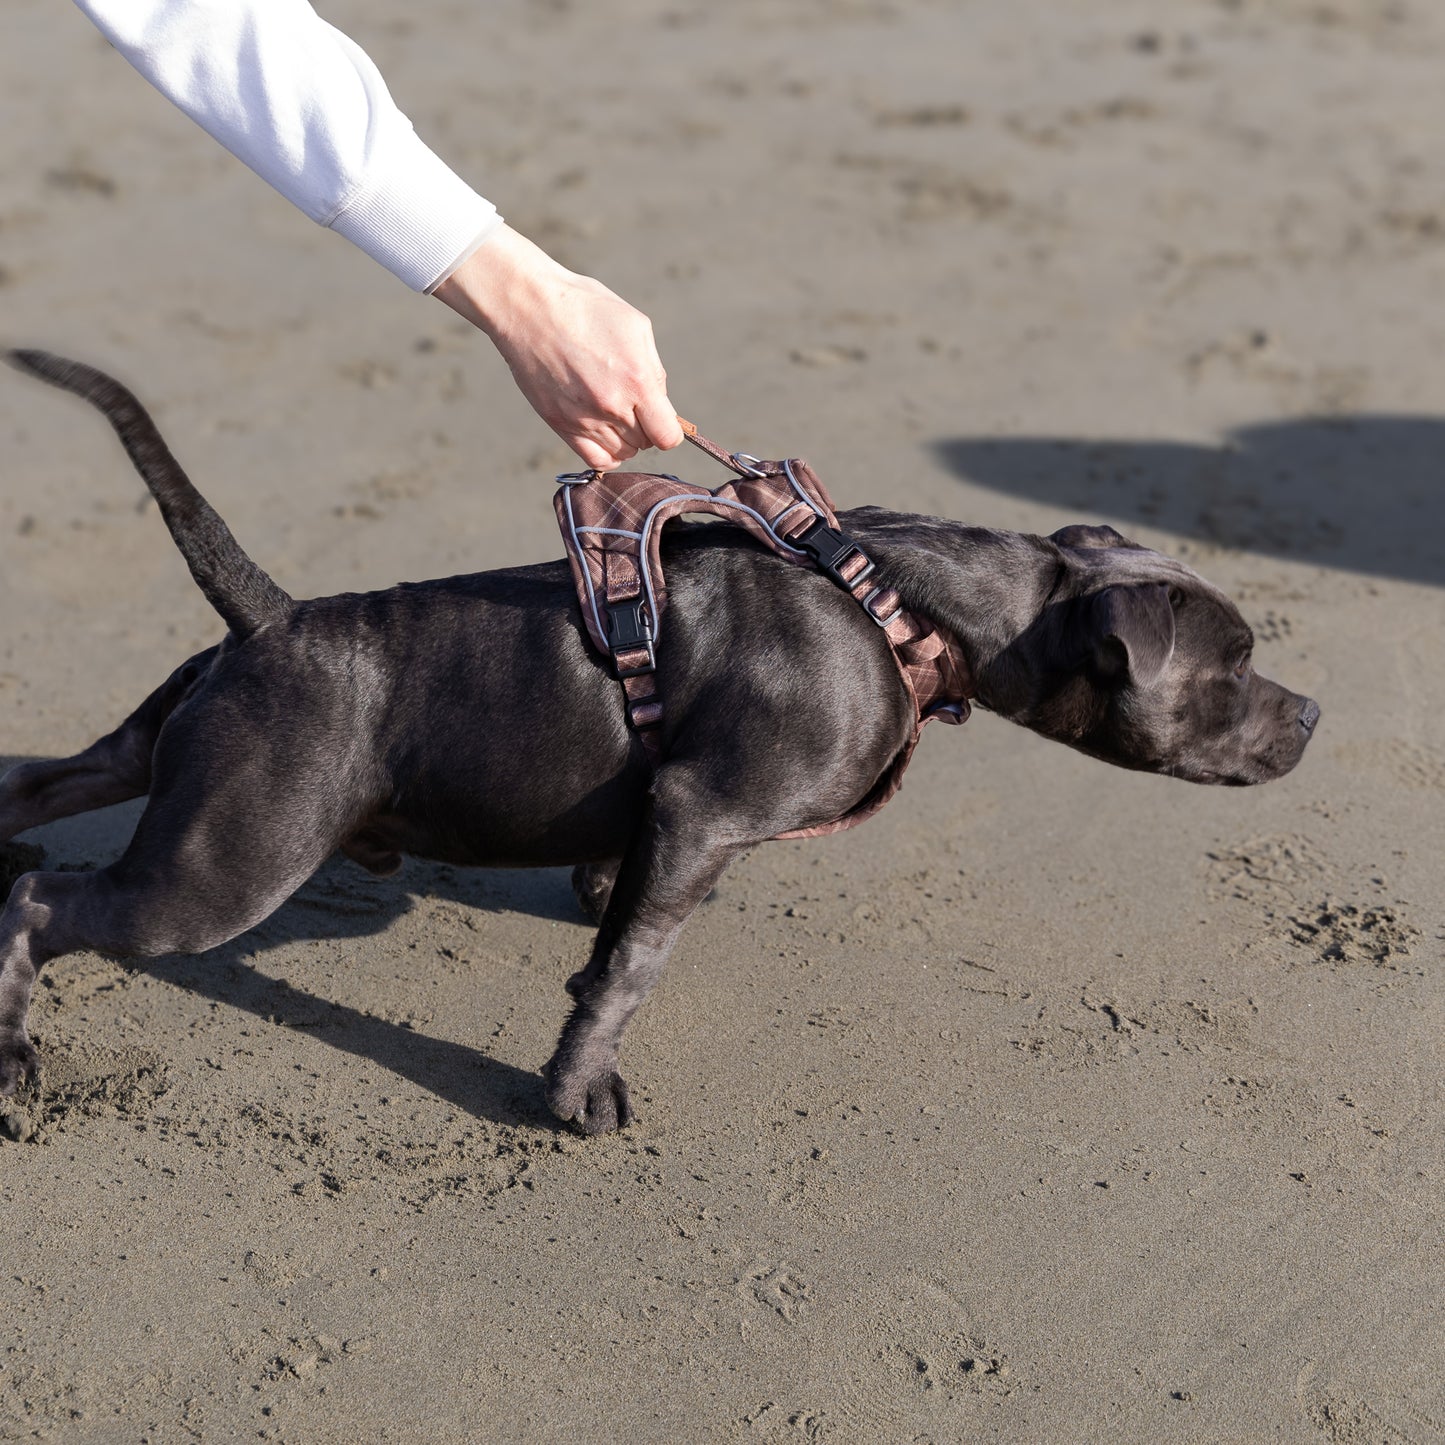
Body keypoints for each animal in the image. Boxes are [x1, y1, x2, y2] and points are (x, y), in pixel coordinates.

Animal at [0, 349, 1317, 1127]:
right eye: (1233, 666)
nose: (1309, 712)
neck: (901, 602)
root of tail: (270, 616)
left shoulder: (656, 813)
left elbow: (613, 914)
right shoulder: (704, 810)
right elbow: (630, 968)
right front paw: (576, 1089)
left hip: (152, 757)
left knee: (34, 785)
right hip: (222, 868)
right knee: (43, 906)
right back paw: (16, 1061)